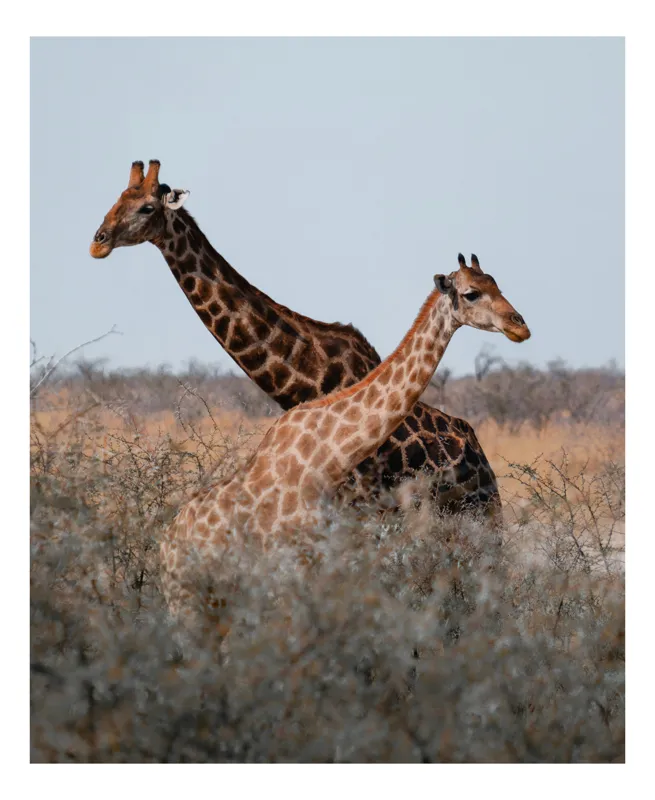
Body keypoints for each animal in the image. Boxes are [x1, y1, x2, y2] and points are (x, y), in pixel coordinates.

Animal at [90, 159, 528, 516]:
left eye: (147, 207)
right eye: (117, 199)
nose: (98, 241)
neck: (308, 381)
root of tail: (480, 456)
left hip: (478, 513)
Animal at [157, 255, 530, 625]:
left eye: (496, 284)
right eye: (471, 294)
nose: (520, 326)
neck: (328, 456)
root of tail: (165, 542)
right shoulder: (291, 567)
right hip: (185, 600)